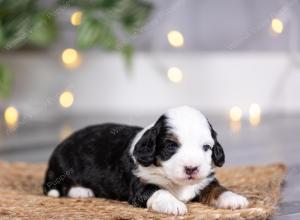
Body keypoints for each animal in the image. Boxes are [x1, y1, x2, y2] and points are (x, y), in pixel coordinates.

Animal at [42, 105, 248, 214]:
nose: (192, 169)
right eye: (171, 146)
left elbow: (217, 189)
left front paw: (234, 198)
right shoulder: (141, 186)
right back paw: (81, 191)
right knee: (58, 186)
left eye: (206, 147)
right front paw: (174, 204)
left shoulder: (205, 180)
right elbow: (159, 191)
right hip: (62, 166)